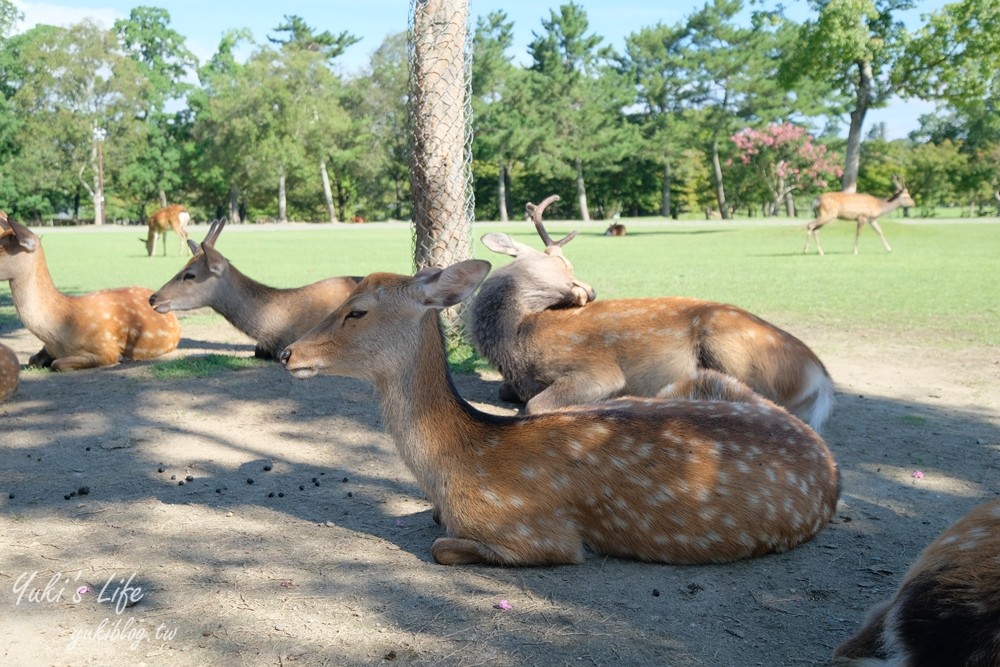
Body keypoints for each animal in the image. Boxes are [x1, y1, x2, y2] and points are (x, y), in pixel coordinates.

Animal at [278, 258, 840, 568]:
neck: (458, 463)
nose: (287, 353)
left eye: (357, 310)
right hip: (697, 382)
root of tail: (829, 460)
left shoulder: (537, 535)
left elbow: (442, 546)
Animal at [468, 193, 836, 434]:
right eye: (564, 263)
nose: (591, 290)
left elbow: (535, 405)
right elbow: (507, 393)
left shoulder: (597, 369)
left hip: (733, 350)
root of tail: (821, 378)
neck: (516, 343)